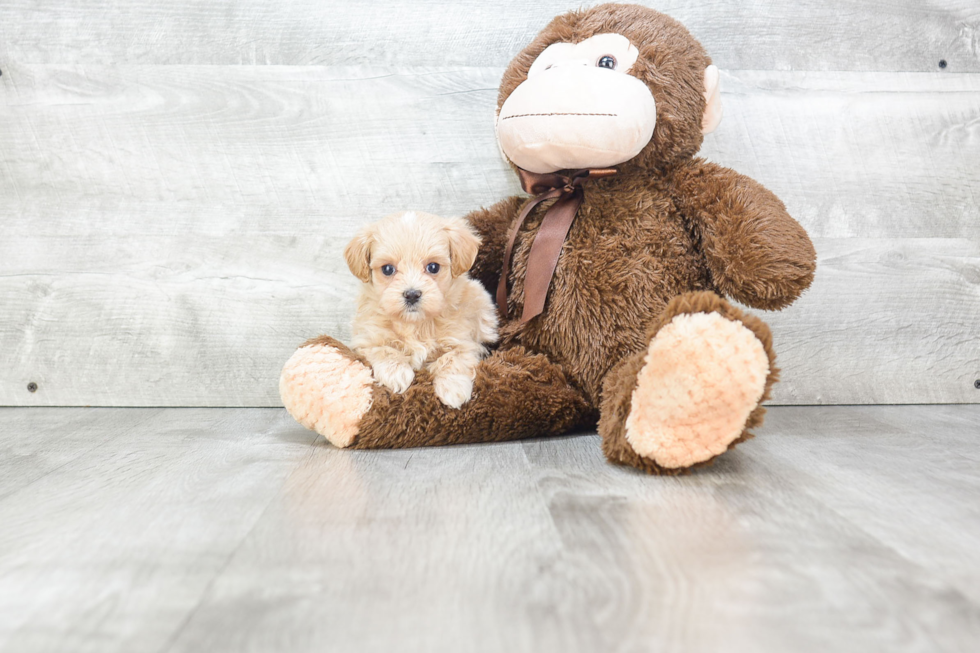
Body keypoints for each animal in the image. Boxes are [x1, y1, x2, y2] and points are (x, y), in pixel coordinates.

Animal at [344, 211, 498, 408]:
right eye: (387, 269)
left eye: (433, 267)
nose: (412, 294)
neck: (415, 324)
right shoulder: (365, 339)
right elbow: (383, 349)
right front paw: (396, 373)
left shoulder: (465, 342)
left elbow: (454, 357)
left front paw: (453, 388)